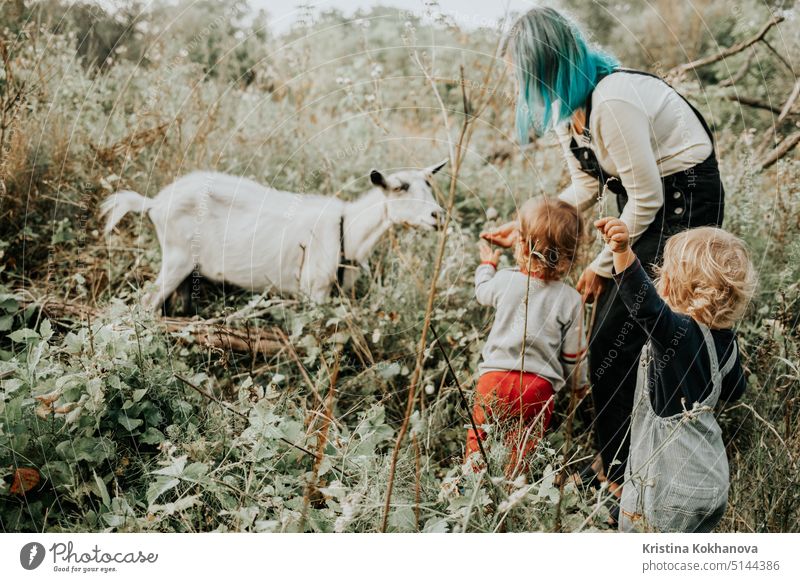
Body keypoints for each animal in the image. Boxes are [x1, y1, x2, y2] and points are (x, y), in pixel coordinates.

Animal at [101, 163, 444, 310]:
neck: (347, 230)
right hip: (175, 258)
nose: (438, 216)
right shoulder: (314, 291)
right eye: (400, 187)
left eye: (428, 185)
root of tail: (154, 203)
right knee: (147, 303)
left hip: (188, 268)